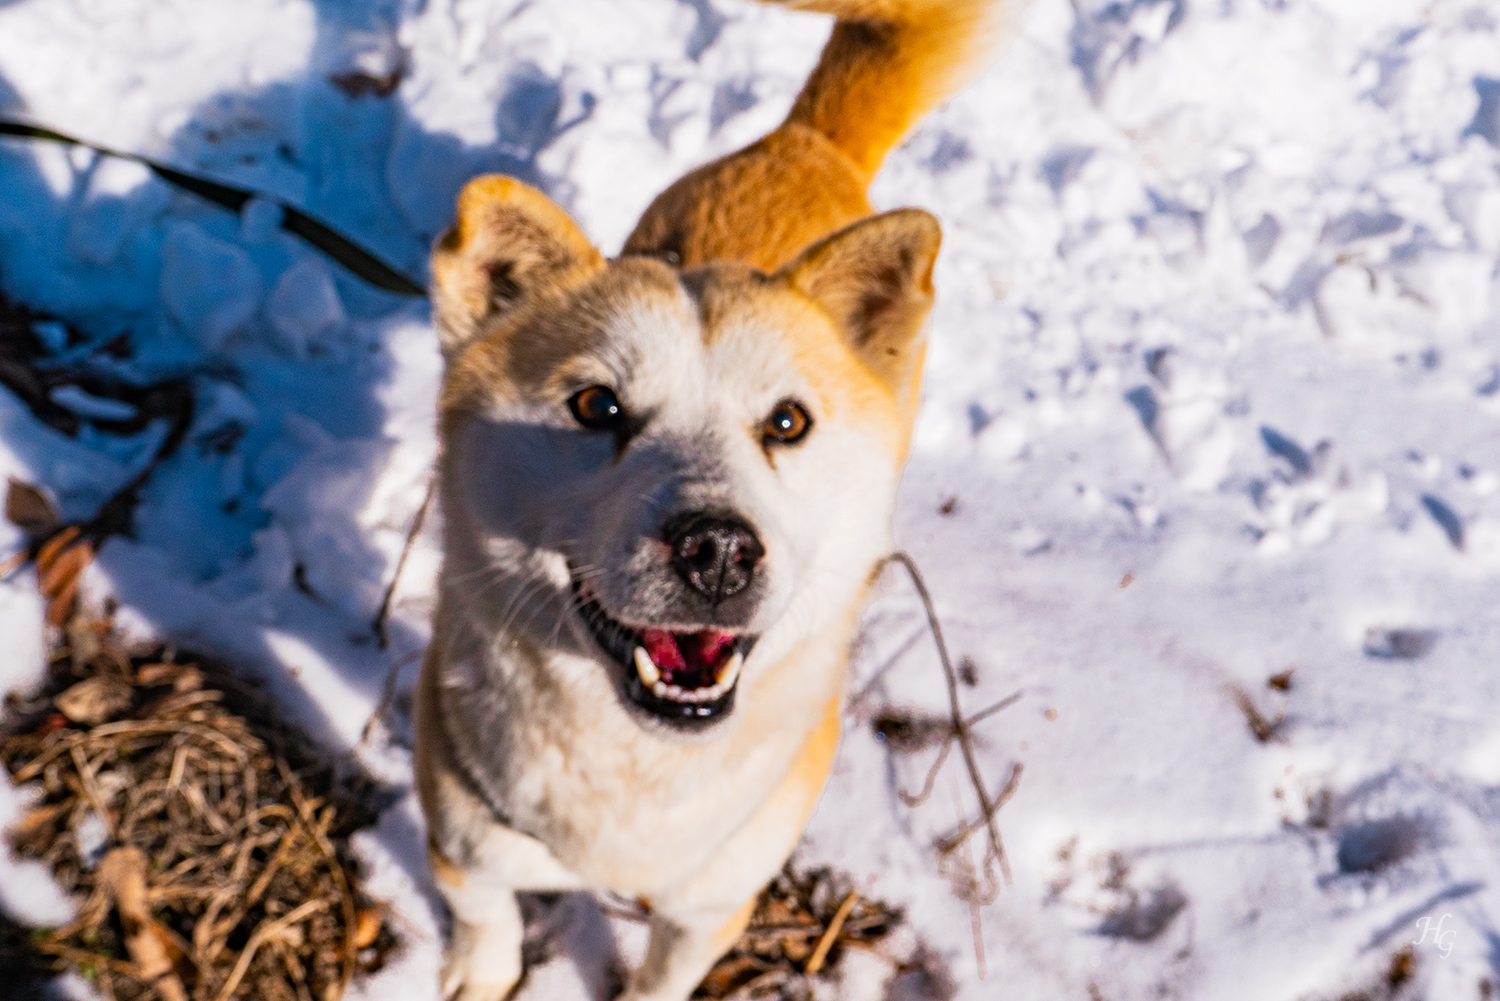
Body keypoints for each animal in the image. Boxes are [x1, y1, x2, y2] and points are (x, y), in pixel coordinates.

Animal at [411, 3, 1008, 996]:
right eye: (597, 406)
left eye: (789, 421)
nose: (720, 549)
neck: (634, 768)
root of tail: (805, 141)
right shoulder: (462, 828)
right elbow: (484, 909)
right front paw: (477, 968)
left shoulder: (712, 904)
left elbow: (663, 974)